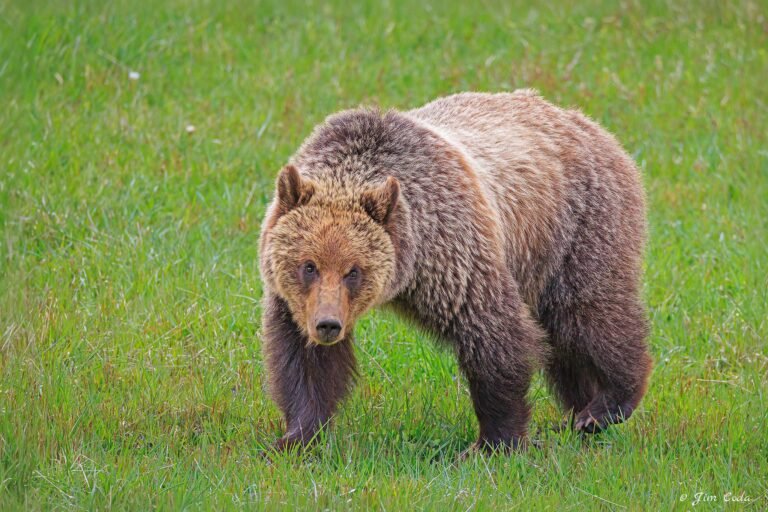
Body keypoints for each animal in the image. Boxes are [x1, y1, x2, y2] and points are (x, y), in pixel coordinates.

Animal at [258, 90, 652, 453]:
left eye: (353, 271)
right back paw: (578, 413)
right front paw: (295, 438)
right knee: (564, 341)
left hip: (579, 227)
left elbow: (493, 334)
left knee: (589, 314)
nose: (328, 325)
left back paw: (605, 405)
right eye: (309, 266)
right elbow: (304, 362)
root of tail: (593, 126)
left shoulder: (452, 255)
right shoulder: (294, 301)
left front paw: (494, 442)